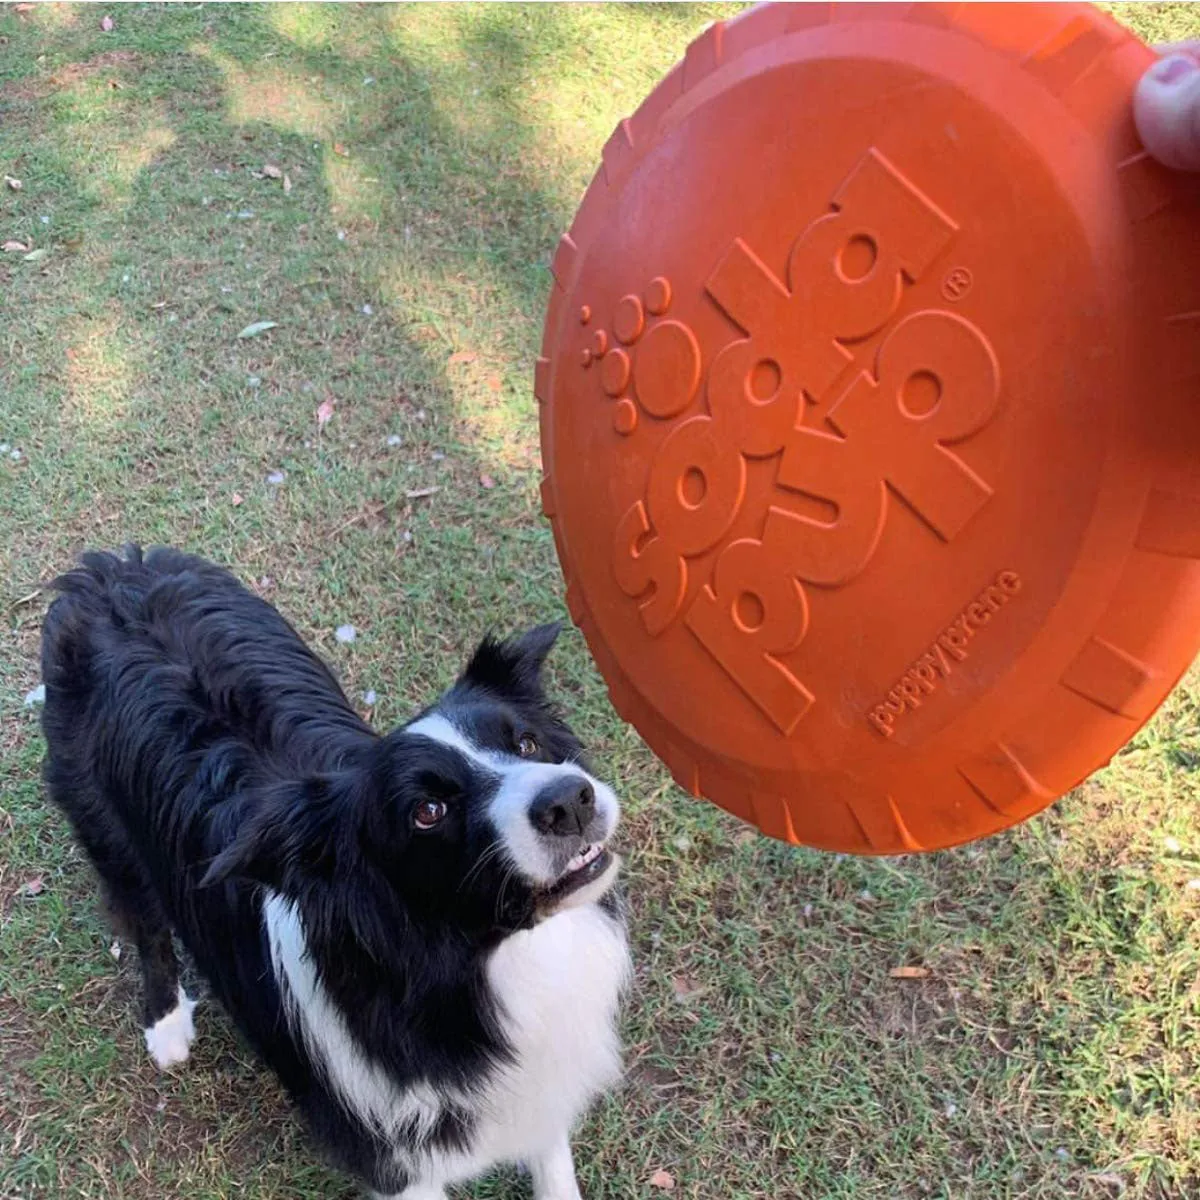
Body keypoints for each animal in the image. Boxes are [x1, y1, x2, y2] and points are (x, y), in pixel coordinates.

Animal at [37, 549, 628, 1195]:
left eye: (525, 743)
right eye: (427, 811)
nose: (570, 801)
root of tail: (108, 570)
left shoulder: (540, 1092)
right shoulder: (397, 1162)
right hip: (106, 829)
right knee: (144, 922)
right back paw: (166, 1024)